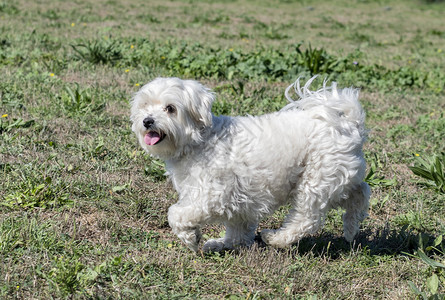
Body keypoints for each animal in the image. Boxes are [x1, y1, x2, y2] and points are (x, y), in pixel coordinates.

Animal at [130, 76, 370, 252]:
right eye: (145, 105)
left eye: (170, 108)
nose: (147, 121)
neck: (201, 140)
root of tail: (349, 123)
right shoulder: (239, 202)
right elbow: (237, 231)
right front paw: (221, 244)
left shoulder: (213, 195)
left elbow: (176, 214)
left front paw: (191, 237)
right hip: (339, 177)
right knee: (361, 193)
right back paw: (351, 228)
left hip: (315, 181)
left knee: (307, 219)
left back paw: (276, 238)